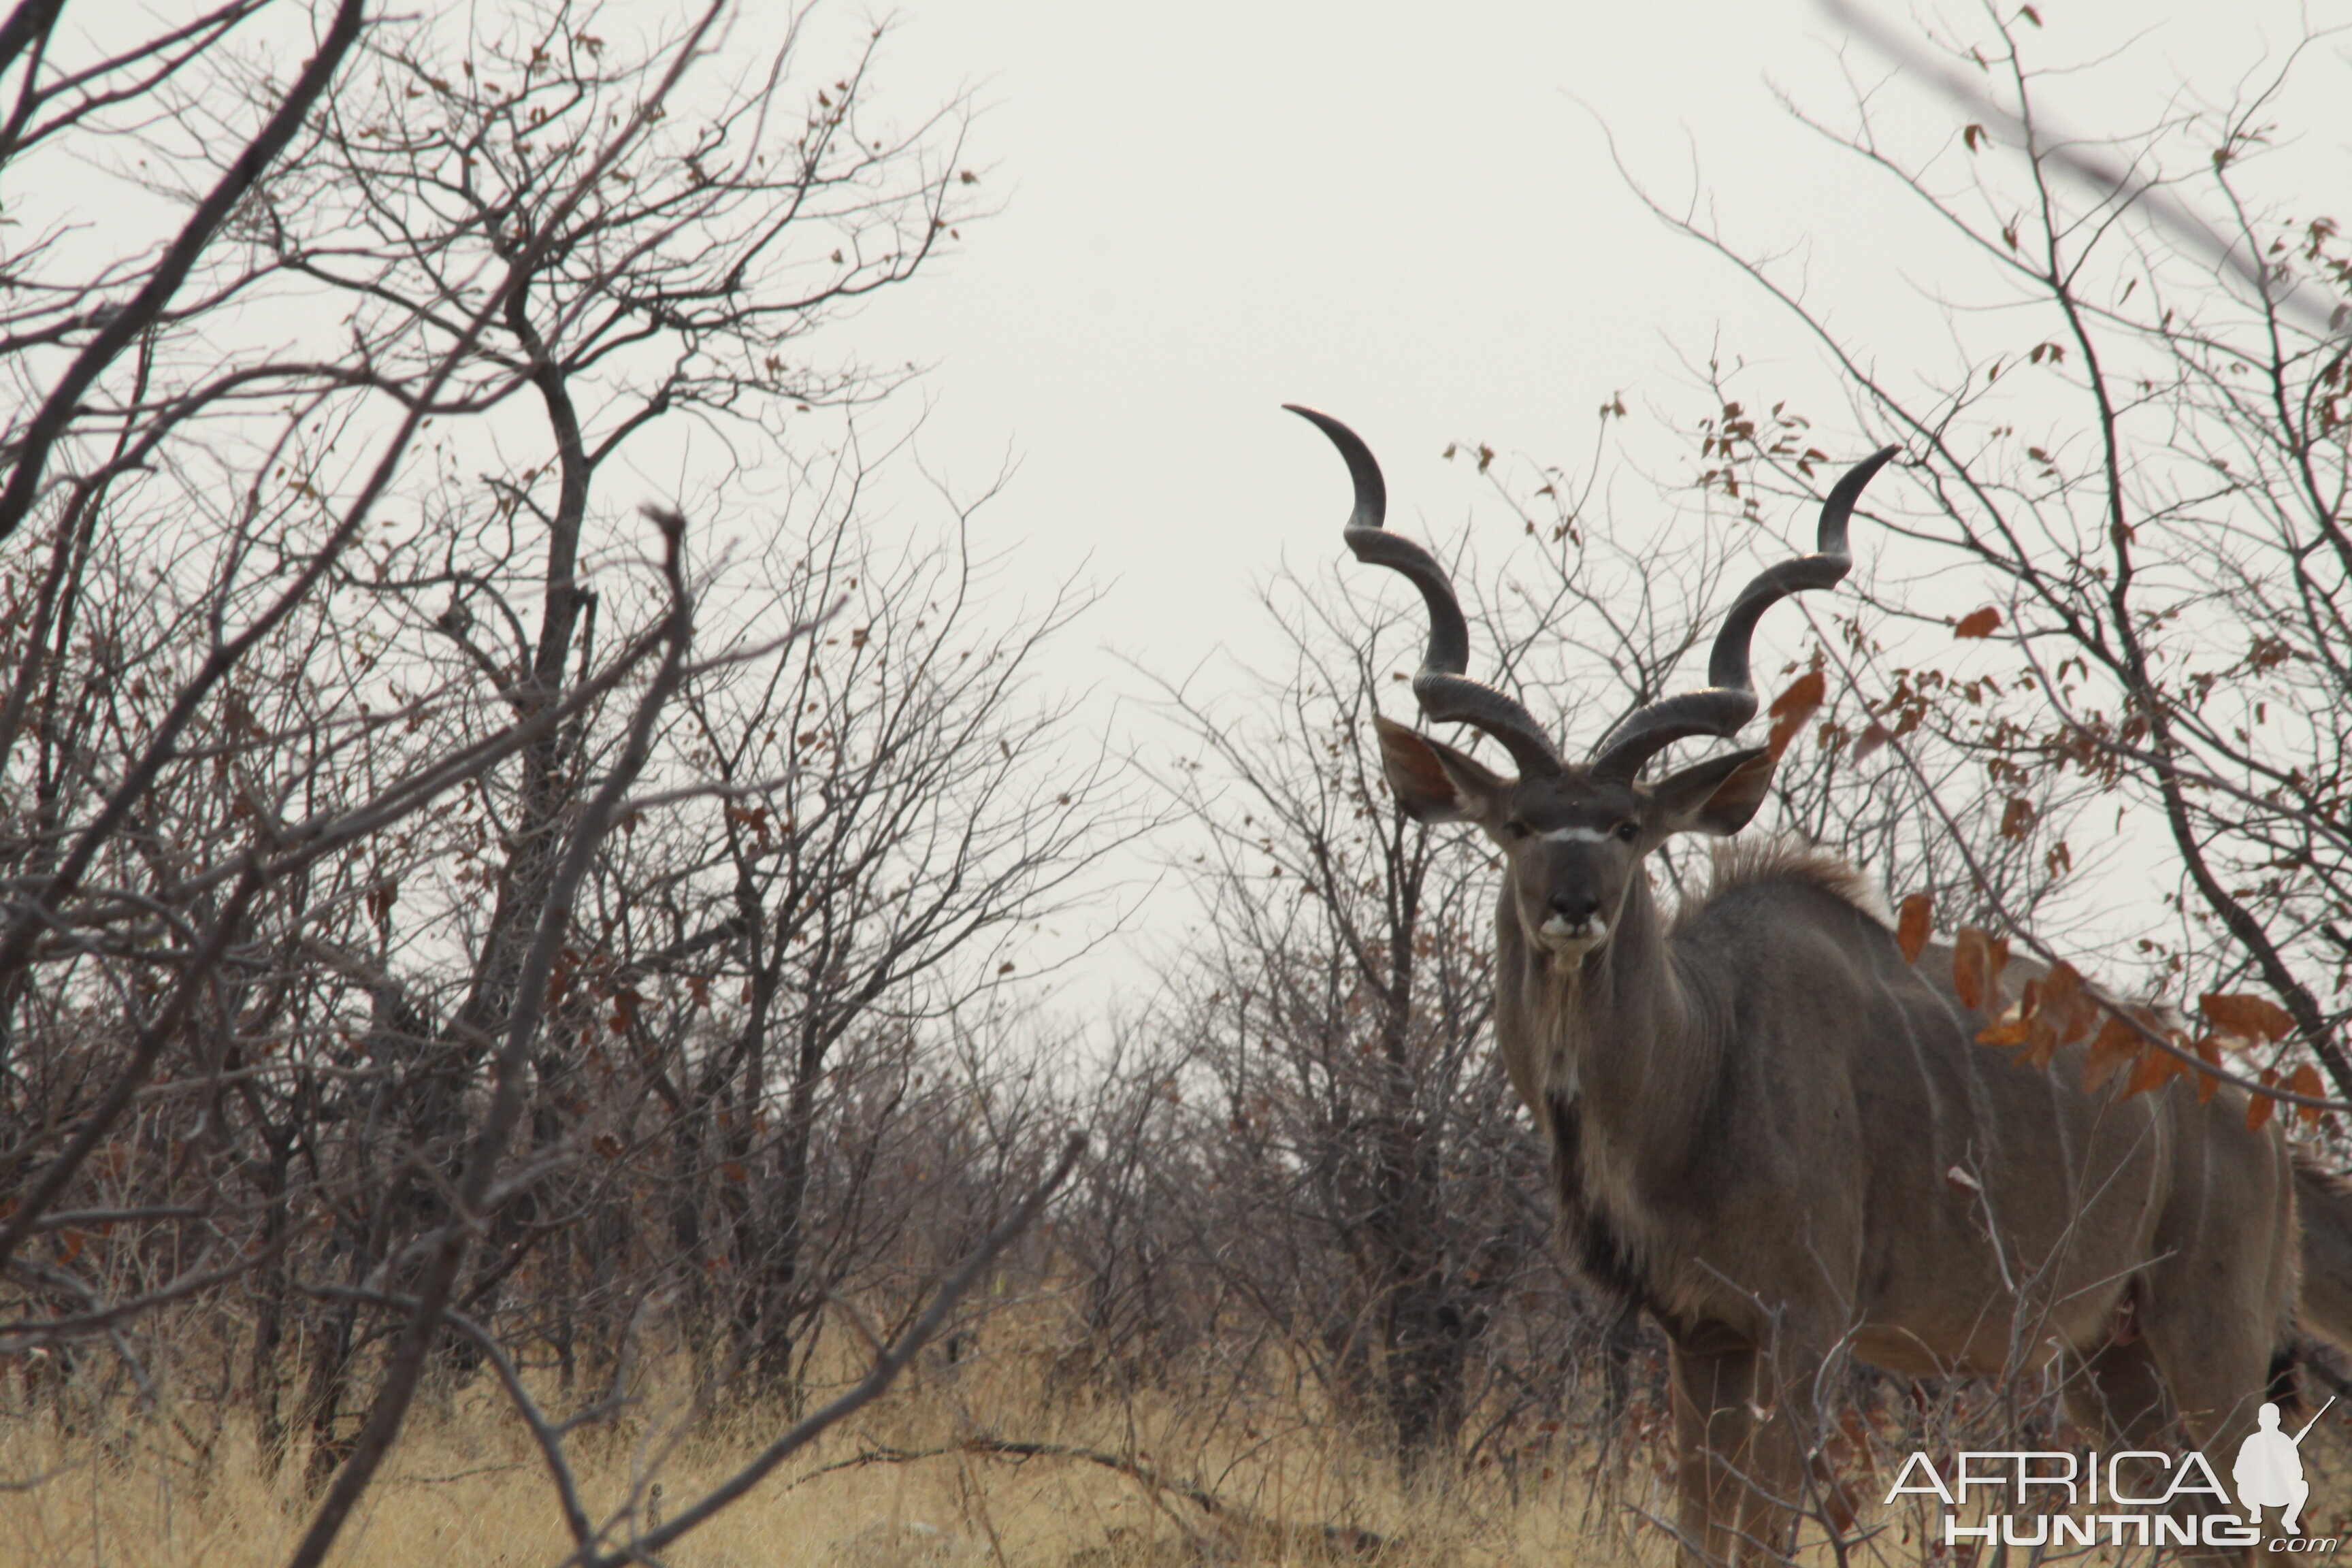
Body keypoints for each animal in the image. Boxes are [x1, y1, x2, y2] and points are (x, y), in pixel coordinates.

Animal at [1288, 409, 2352, 1568]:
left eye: (1627, 826)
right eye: (1521, 824)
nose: (1574, 905)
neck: (1698, 1063)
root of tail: (2257, 1113)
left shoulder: (1803, 1323)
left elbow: (1763, 1526)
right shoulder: (1700, 1332)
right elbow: (1705, 1528)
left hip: (2206, 1337)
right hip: (2107, 1361)